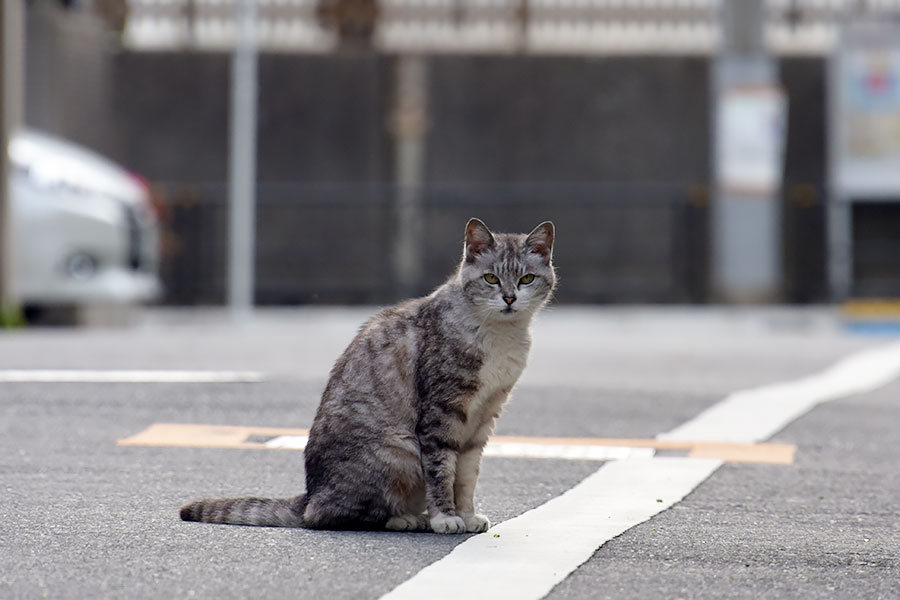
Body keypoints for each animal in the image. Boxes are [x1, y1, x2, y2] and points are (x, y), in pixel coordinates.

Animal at [179, 219, 552, 536]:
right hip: (400, 452)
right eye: (491, 278)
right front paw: (446, 518)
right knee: (332, 516)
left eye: (526, 279)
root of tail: (310, 493)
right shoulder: (441, 414)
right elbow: (442, 471)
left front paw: (468, 514)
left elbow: (467, 475)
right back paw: (406, 519)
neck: (500, 335)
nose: (509, 298)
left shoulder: (484, 417)